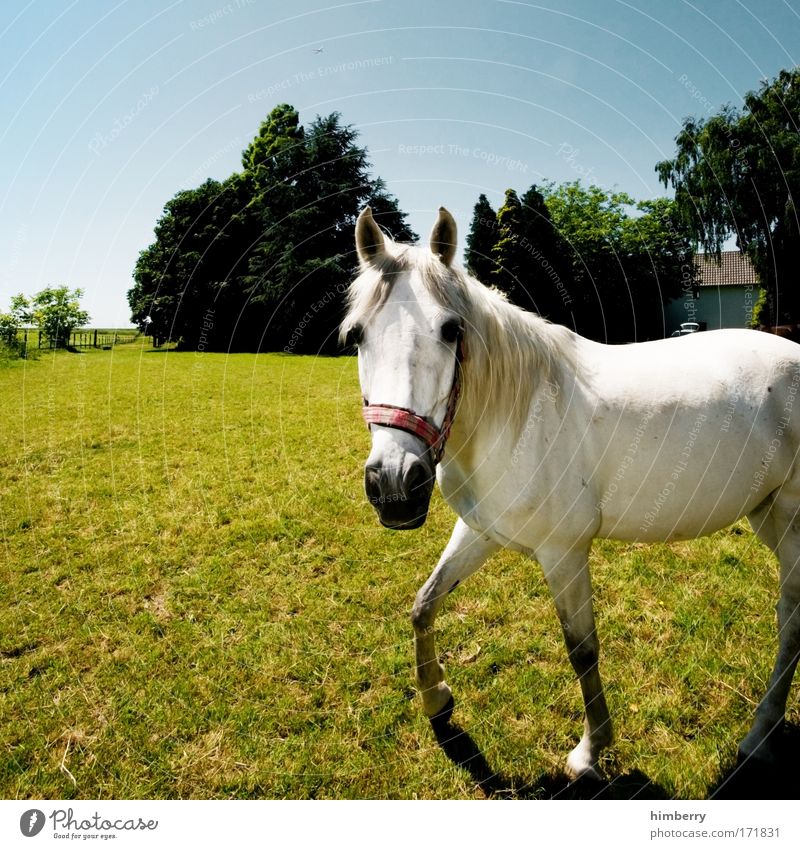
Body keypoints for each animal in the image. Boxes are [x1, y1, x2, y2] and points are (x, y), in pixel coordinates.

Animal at [342, 207, 800, 780]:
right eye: (357, 335)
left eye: (450, 329)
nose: (395, 484)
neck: (518, 412)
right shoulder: (480, 531)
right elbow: (424, 604)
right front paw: (437, 700)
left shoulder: (564, 552)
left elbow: (581, 649)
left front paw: (589, 751)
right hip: (768, 515)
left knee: (792, 622)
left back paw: (758, 737)